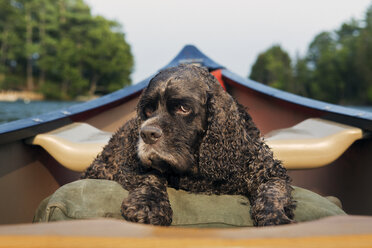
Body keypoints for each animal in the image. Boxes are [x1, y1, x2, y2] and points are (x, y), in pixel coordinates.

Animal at [82, 64, 296, 227]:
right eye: (148, 109)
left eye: (183, 108)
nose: (147, 134)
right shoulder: (129, 167)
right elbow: (152, 177)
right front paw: (148, 204)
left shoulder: (268, 171)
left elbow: (272, 191)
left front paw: (275, 218)